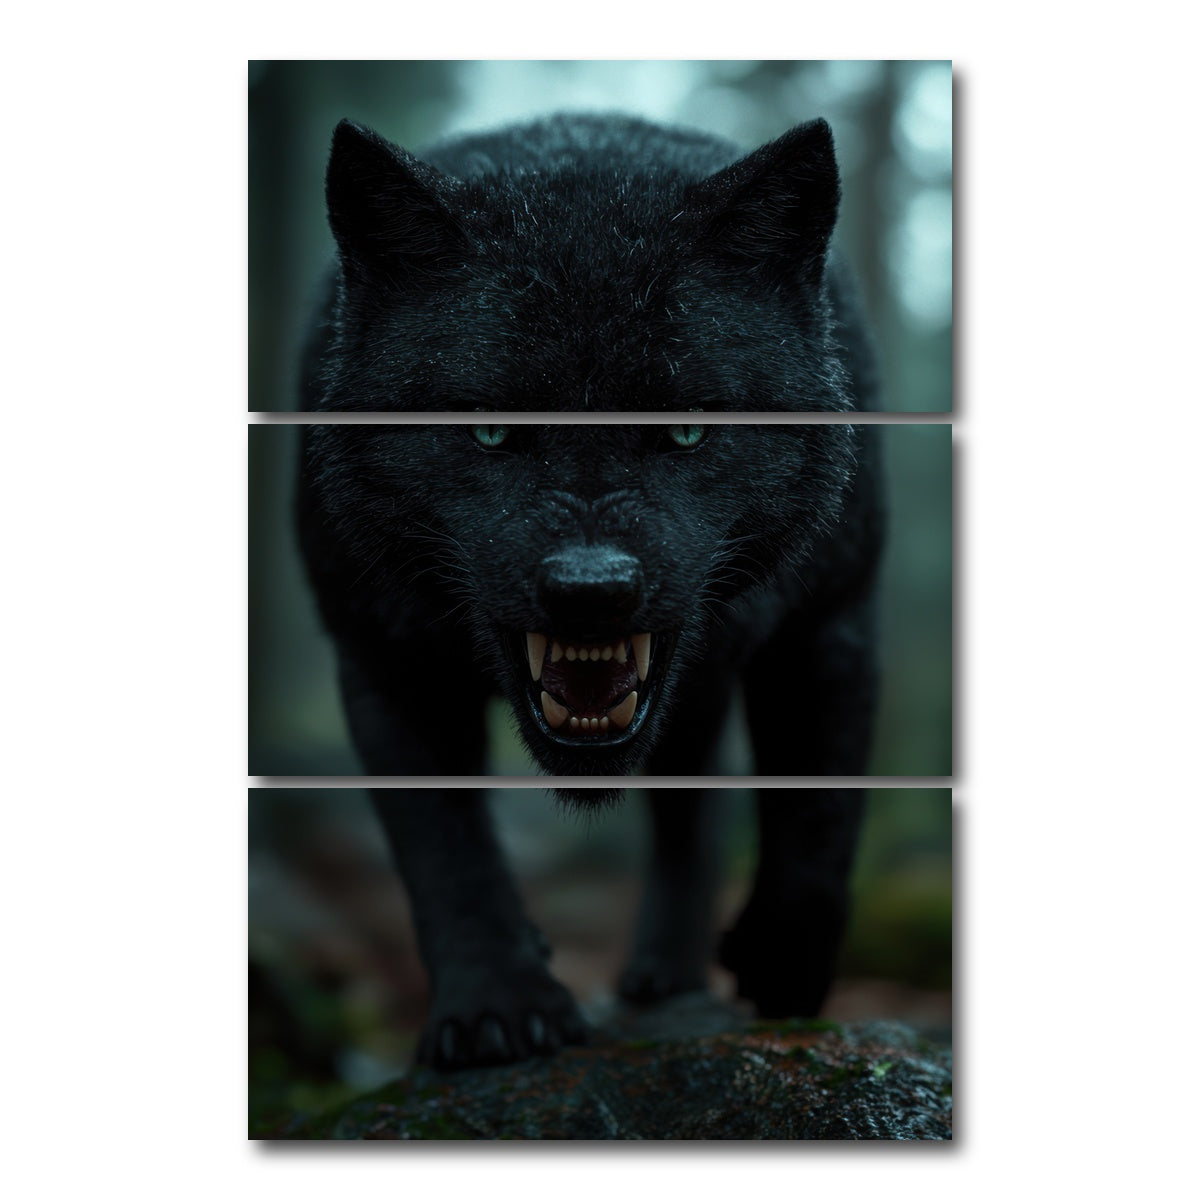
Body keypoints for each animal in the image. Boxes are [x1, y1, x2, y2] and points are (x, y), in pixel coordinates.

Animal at [296, 115, 884, 1067]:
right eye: (488, 431)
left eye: (687, 431)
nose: (590, 587)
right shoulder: (383, 657)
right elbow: (443, 848)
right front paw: (497, 1010)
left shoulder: (830, 622)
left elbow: (821, 813)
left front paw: (784, 971)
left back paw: (669, 979)